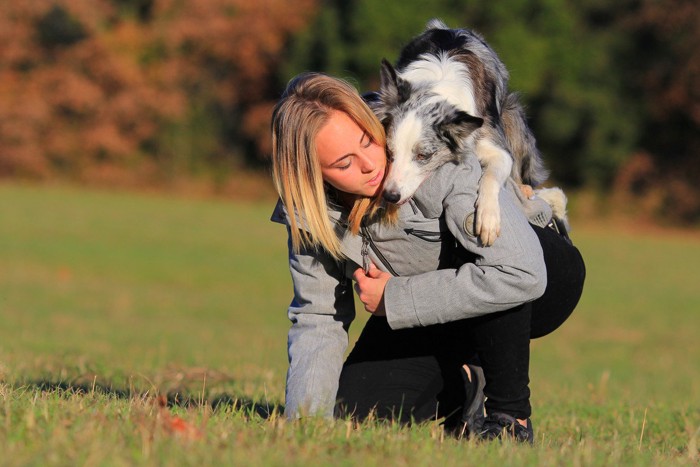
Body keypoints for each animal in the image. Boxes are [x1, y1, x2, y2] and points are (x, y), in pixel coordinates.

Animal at [370, 19, 568, 245]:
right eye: (389, 152)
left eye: (423, 156)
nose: (390, 196)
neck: (436, 92)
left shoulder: (496, 146)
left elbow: (491, 176)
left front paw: (488, 219)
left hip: (513, 117)